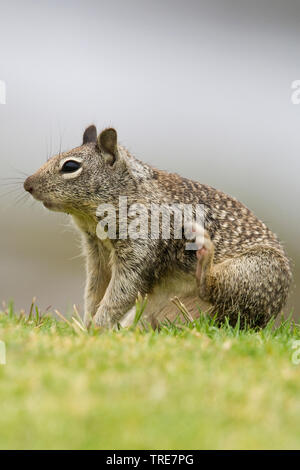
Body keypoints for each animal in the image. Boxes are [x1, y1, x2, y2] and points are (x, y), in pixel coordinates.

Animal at [24, 126, 292, 328]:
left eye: (70, 166)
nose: (27, 185)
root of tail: (263, 322)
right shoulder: (97, 254)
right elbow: (95, 292)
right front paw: (85, 324)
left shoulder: (141, 248)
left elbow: (121, 293)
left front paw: (95, 329)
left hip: (252, 271)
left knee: (212, 291)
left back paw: (204, 256)